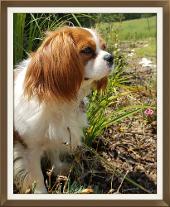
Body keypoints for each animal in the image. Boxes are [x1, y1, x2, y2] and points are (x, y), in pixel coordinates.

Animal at [13, 26, 113, 193]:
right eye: (87, 50)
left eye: (104, 47)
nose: (111, 57)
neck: (58, 99)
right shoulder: (28, 148)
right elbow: (37, 175)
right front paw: (41, 192)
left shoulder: (58, 132)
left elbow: (54, 152)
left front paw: (58, 169)